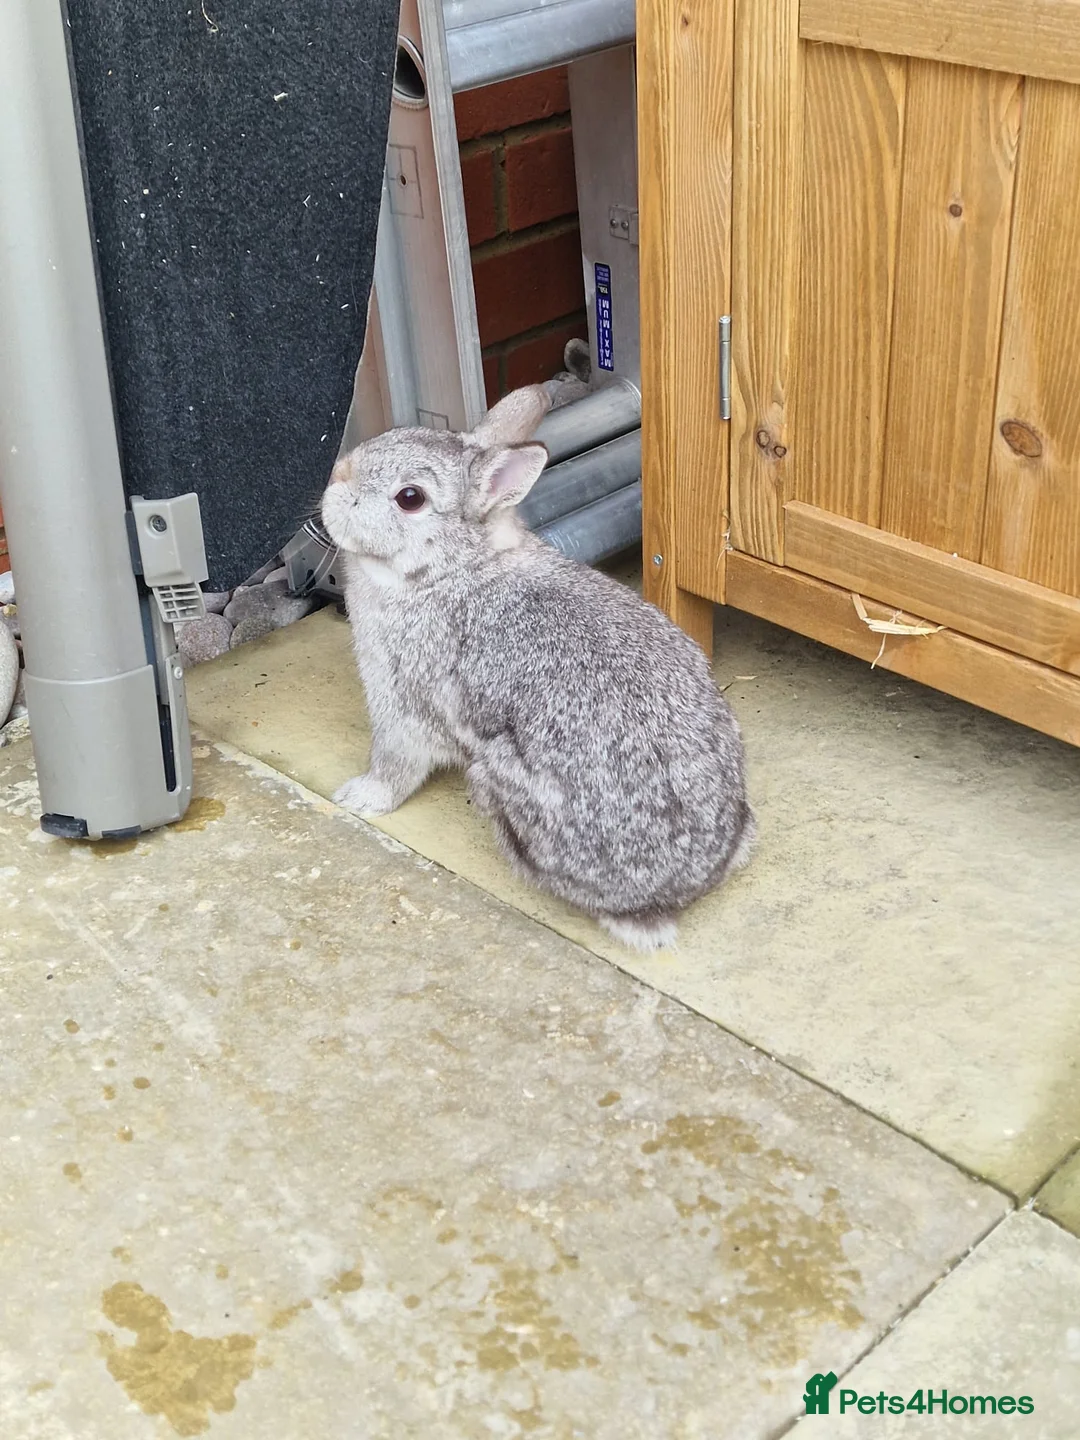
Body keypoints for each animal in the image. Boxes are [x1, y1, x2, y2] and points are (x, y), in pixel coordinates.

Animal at [320, 383, 754, 952]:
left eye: (409, 498)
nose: (336, 479)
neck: (448, 570)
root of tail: (671, 893)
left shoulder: (403, 701)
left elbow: (396, 764)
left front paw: (358, 797)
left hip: (499, 780)